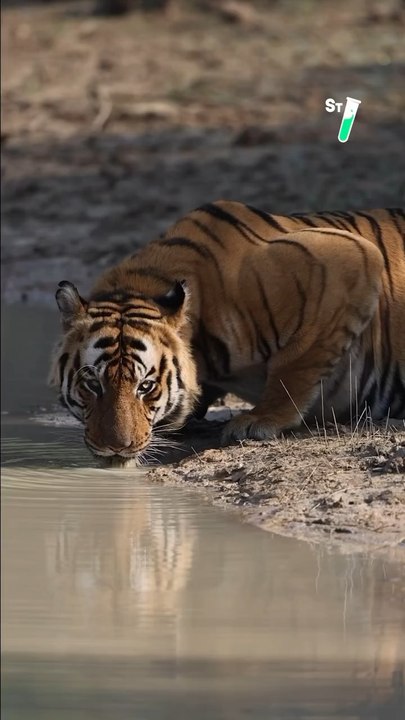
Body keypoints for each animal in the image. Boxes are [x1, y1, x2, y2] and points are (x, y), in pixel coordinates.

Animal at [49, 201, 405, 464]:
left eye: (145, 386)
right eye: (93, 384)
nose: (116, 448)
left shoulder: (352, 256)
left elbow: (294, 364)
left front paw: (258, 420)